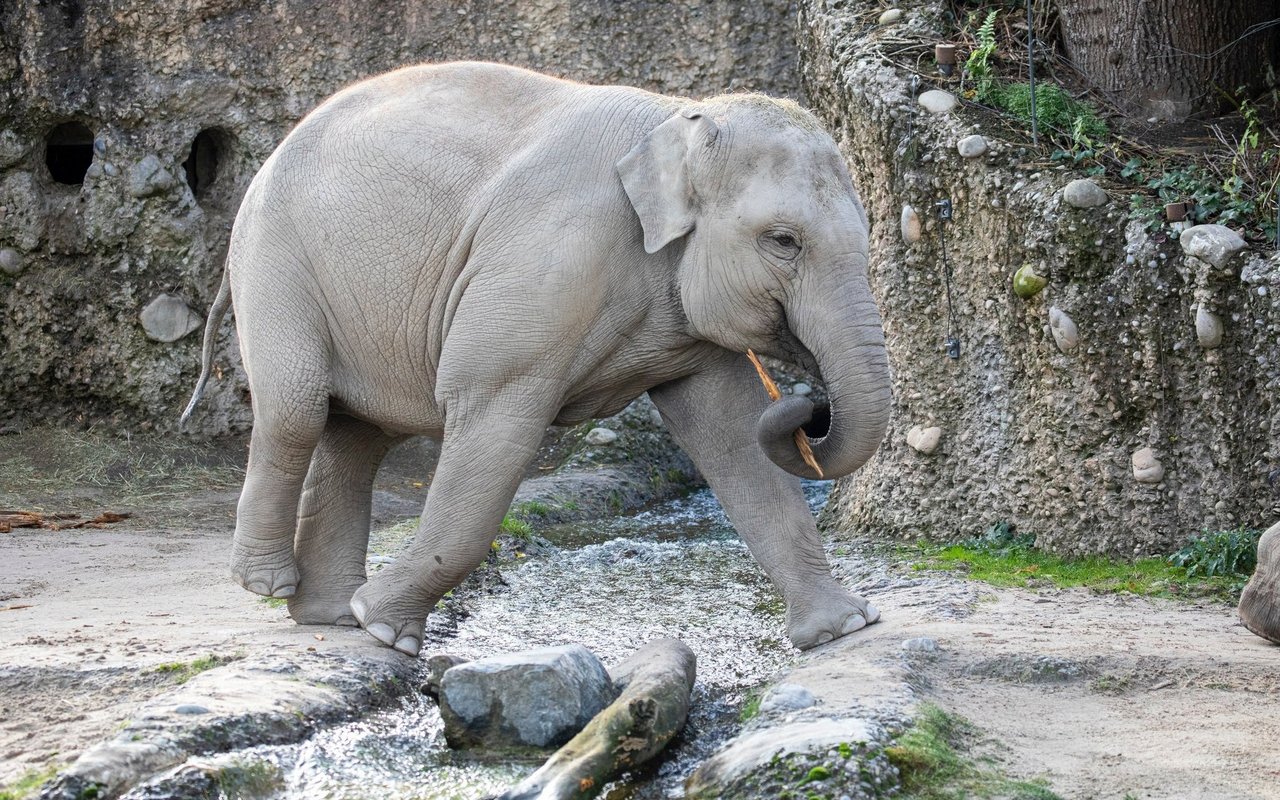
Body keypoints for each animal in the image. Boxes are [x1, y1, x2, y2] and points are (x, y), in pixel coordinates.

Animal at [185, 57, 890, 655]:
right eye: (783, 241)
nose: (807, 409)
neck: (675, 120)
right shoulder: (545, 267)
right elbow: (493, 420)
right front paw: (385, 629)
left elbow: (733, 432)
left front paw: (840, 630)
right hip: (275, 264)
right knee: (298, 411)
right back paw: (274, 588)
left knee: (356, 438)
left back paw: (329, 618)